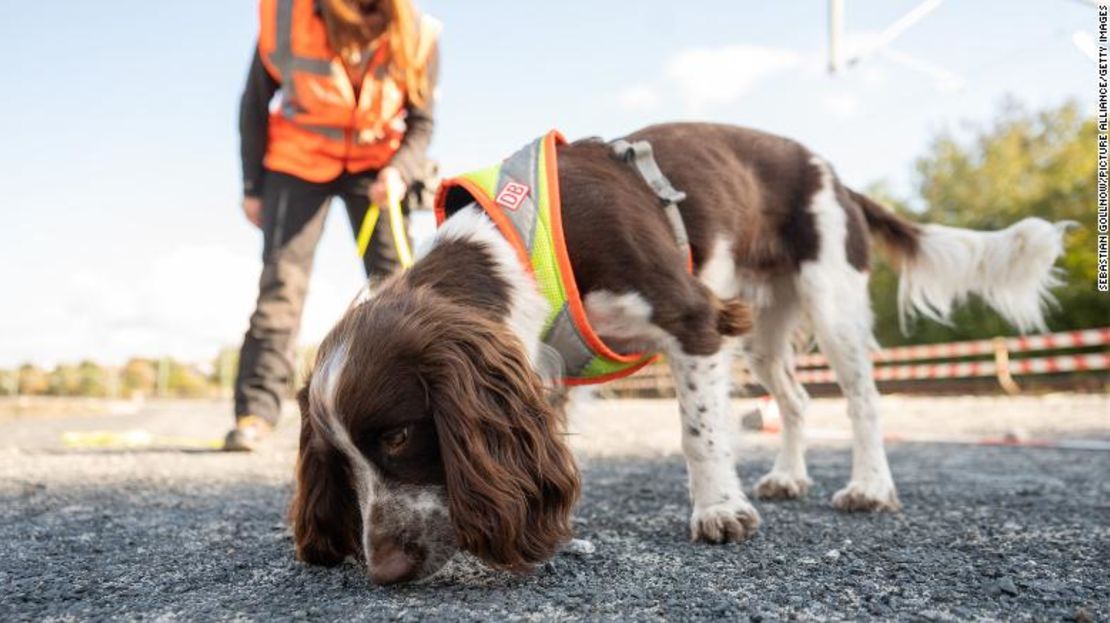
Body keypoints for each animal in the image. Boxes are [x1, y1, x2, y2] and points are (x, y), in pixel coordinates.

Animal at [288, 122, 1065, 581]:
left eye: (398, 435)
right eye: (338, 463)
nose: (383, 569)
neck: (513, 250)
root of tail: (835, 174)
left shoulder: (693, 318)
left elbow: (699, 432)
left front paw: (719, 510)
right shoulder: (544, 370)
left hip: (829, 297)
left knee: (862, 399)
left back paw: (870, 487)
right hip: (762, 324)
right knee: (795, 398)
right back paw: (787, 477)